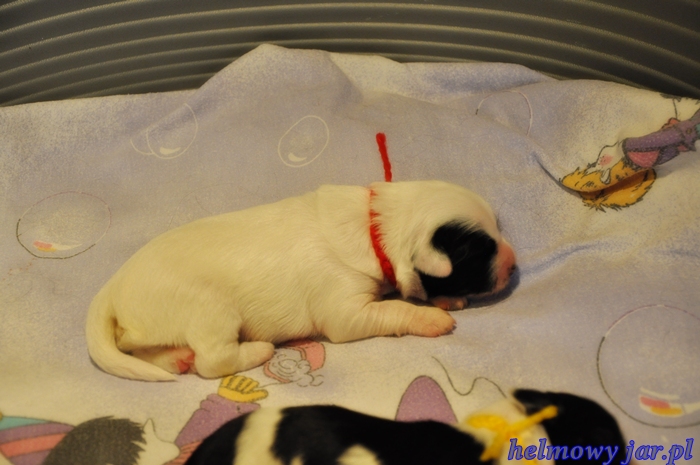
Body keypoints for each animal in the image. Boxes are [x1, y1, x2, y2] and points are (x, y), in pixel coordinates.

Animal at [86, 180, 516, 381]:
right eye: (479, 253)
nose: (514, 267)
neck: (374, 226)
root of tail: (110, 290)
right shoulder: (345, 310)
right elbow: (393, 308)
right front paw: (433, 317)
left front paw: (445, 300)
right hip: (211, 311)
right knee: (213, 360)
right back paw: (257, 351)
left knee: (141, 349)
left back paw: (177, 358)